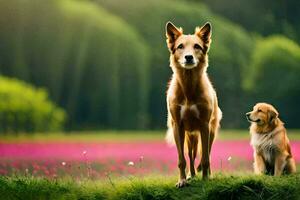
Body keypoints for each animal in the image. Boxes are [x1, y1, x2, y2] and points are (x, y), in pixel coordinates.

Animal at [165, 21, 221, 188]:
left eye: (197, 46)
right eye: (180, 46)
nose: (188, 57)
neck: (188, 88)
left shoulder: (204, 124)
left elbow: (206, 157)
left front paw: (206, 179)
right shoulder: (178, 125)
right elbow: (181, 159)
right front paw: (182, 180)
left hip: (210, 131)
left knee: (205, 153)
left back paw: (205, 174)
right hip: (189, 136)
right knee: (190, 154)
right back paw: (192, 175)